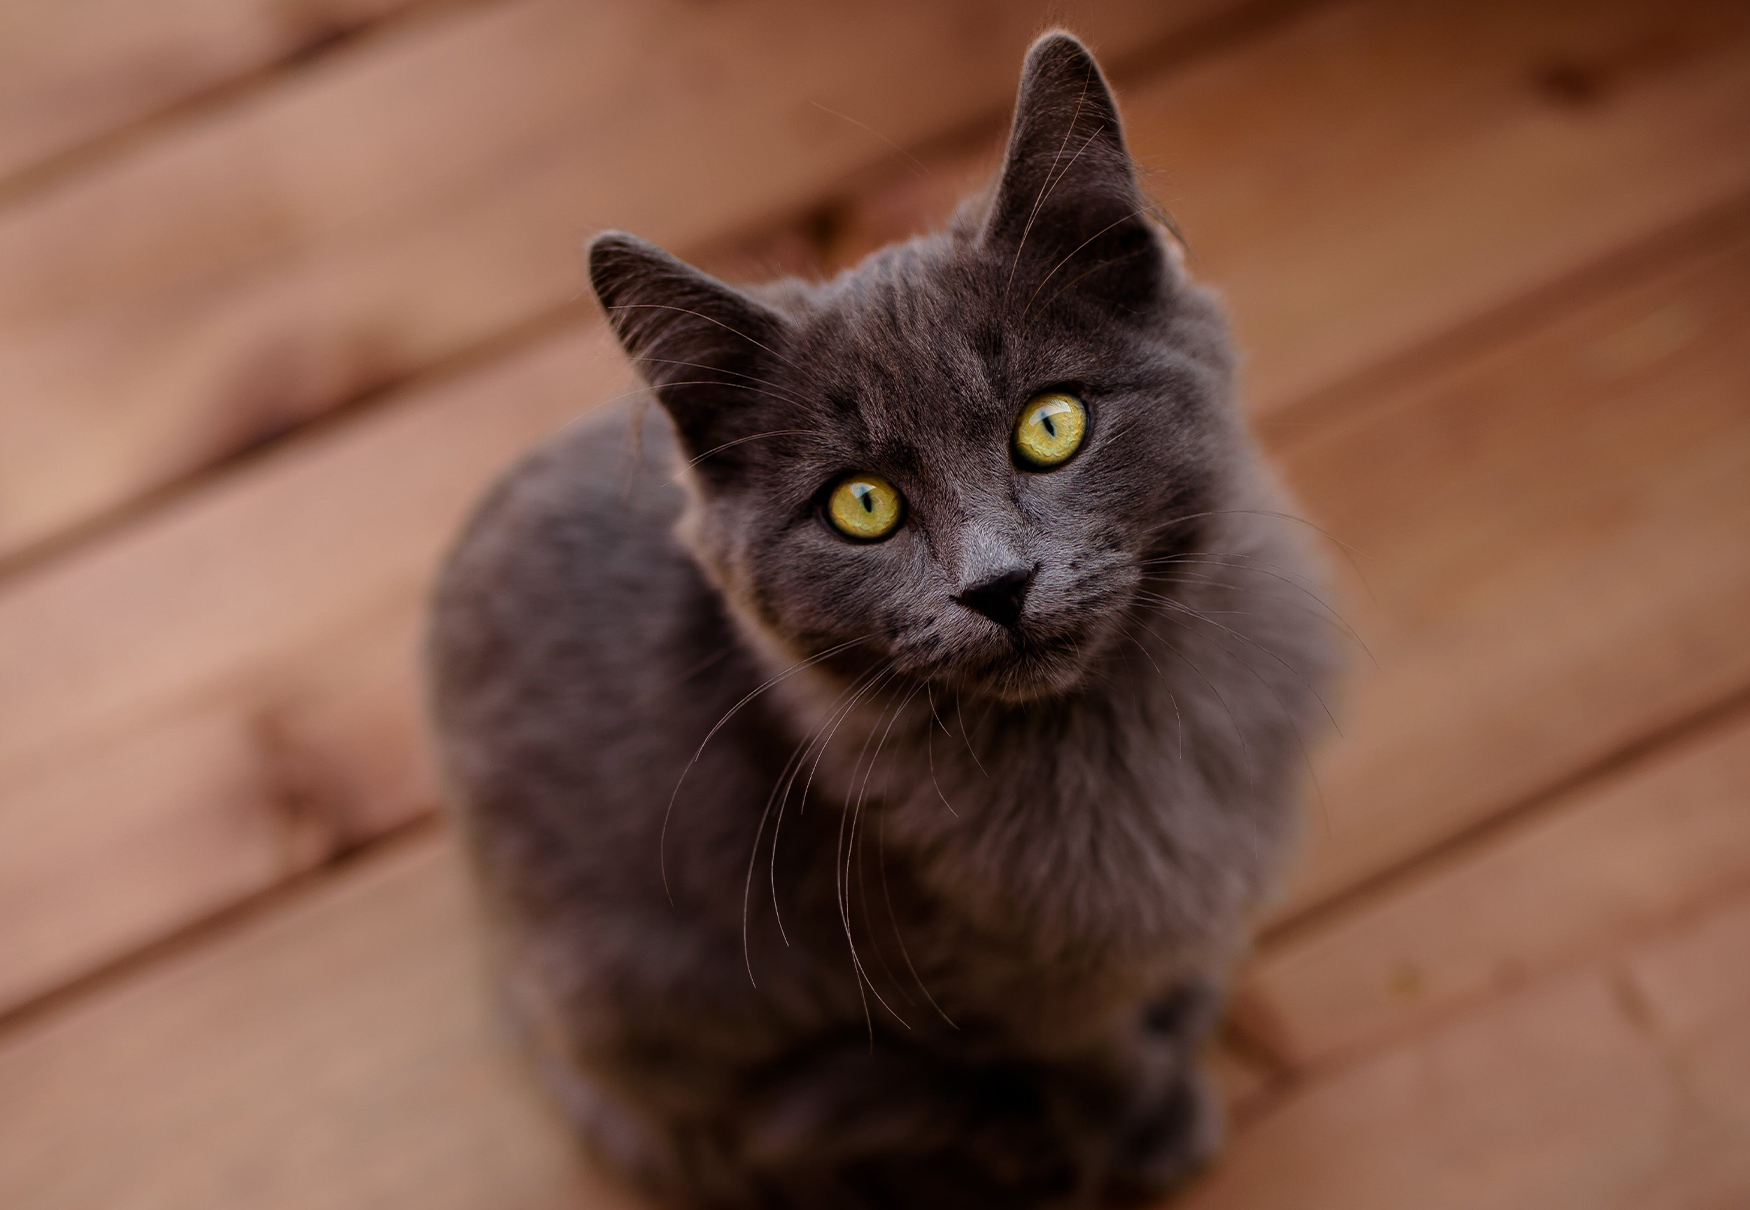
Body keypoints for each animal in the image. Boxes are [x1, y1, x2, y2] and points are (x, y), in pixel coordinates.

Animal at [427, 30, 1337, 1210]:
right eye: (861, 506)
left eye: (1051, 426)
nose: (997, 586)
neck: (1113, 740)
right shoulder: (982, 970)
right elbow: (1085, 1047)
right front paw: (1145, 1118)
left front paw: (1179, 1009)